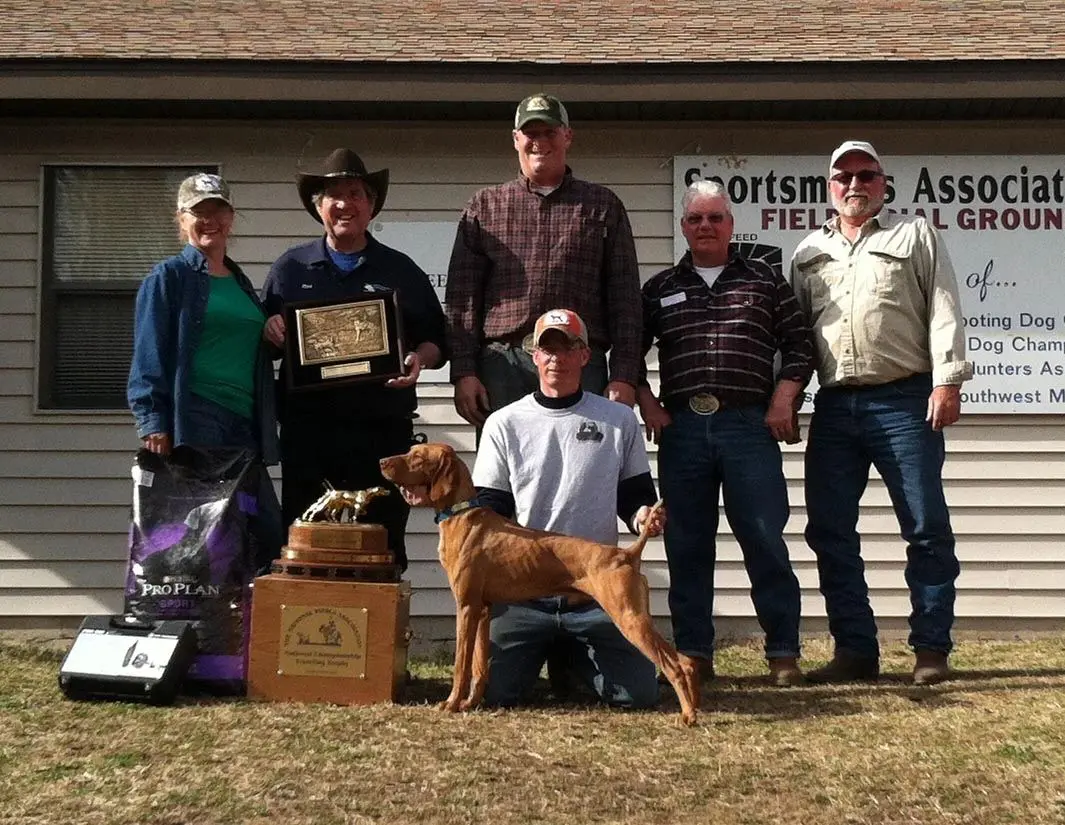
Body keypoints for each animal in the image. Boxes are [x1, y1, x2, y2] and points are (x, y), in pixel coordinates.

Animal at [381, 444, 698, 723]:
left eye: (418, 456)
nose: (382, 461)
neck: (462, 515)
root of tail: (627, 553)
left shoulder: (466, 607)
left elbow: (461, 665)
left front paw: (451, 704)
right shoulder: (482, 609)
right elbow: (480, 667)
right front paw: (471, 704)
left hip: (629, 617)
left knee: (674, 665)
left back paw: (688, 716)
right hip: (638, 616)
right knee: (684, 661)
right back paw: (692, 706)